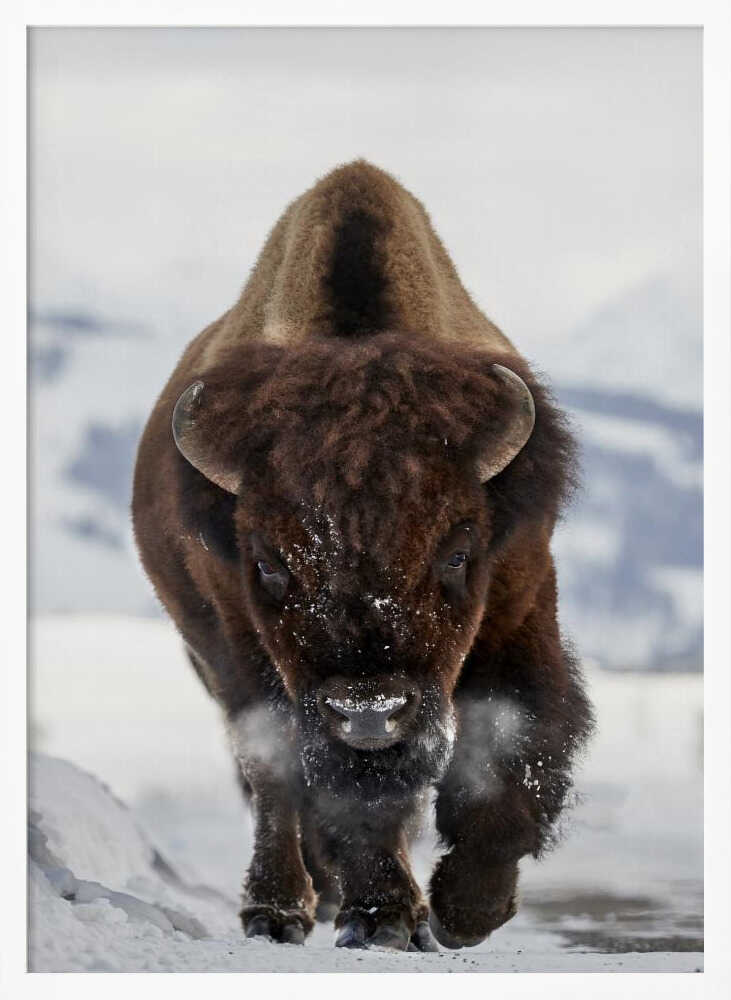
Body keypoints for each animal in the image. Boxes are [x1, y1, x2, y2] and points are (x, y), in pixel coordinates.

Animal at [132, 160, 593, 952]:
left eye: (457, 552)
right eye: (269, 564)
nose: (369, 714)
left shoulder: (520, 605)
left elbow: (513, 742)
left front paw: (465, 910)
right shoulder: (246, 646)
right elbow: (321, 786)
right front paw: (382, 917)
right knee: (275, 781)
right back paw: (281, 910)